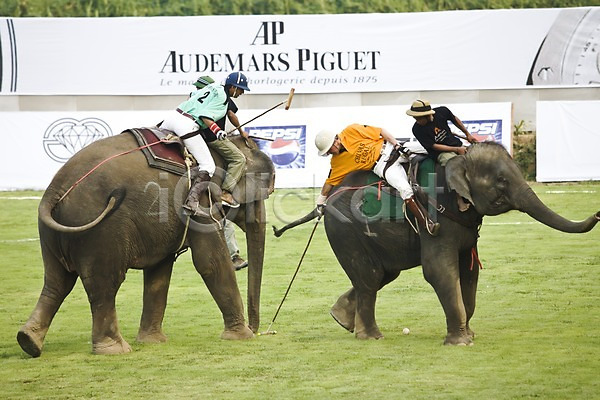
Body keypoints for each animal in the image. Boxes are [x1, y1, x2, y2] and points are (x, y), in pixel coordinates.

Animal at [16, 130, 274, 358]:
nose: (256, 330)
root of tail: (54, 190)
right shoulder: (199, 200)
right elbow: (210, 261)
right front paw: (241, 337)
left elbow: (159, 272)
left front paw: (153, 342)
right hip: (101, 232)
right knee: (104, 284)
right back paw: (114, 350)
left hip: (54, 234)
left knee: (56, 283)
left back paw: (28, 341)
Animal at [274, 142, 596, 346]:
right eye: (502, 182)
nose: (598, 213)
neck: (456, 159)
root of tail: (325, 202)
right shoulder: (437, 219)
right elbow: (439, 271)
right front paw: (461, 342)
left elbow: (469, 272)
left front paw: (469, 335)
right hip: (345, 231)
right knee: (369, 278)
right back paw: (370, 337)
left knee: (381, 275)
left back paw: (342, 318)